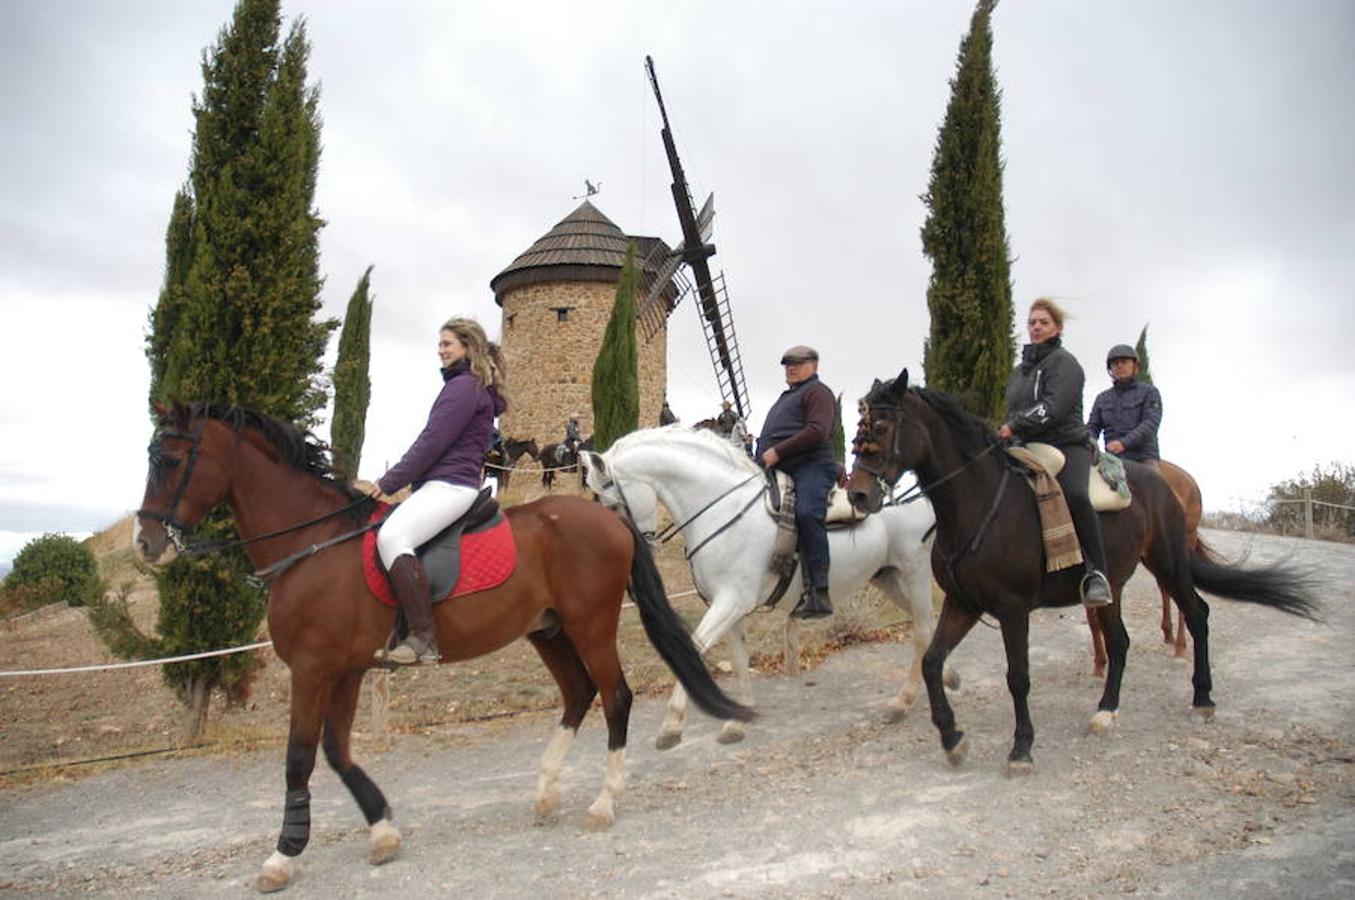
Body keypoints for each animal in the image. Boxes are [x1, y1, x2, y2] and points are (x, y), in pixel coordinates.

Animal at [133, 401, 753, 894]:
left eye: (169, 462)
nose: (147, 543)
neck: (313, 545)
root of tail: (610, 519)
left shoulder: (312, 669)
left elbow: (300, 758)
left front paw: (282, 857)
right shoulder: (345, 670)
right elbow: (337, 751)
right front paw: (382, 829)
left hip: (591, 625)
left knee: (615, 697)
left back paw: (603, 802)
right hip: (548, 631)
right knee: (578, 694)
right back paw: (546, 793)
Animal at [582, 425, 953, 748]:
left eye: (612, 504)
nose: (629, 552)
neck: (723, 510)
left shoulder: (729, 602)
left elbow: (695, 649)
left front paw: (671, 726)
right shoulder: (728, 607)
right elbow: (738, 658)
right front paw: (738, 720)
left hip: (914, 571)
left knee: (921, 629)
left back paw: (902, 702)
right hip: (889, 577)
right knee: (925, 623)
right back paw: (946, 676)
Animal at [1084, 458, 1203, 675]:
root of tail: (1190, 480)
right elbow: (1093, 618)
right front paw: (1099, 663)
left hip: (1182, 545)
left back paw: (1180, 645)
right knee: (1165, 589)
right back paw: (1168, 633)